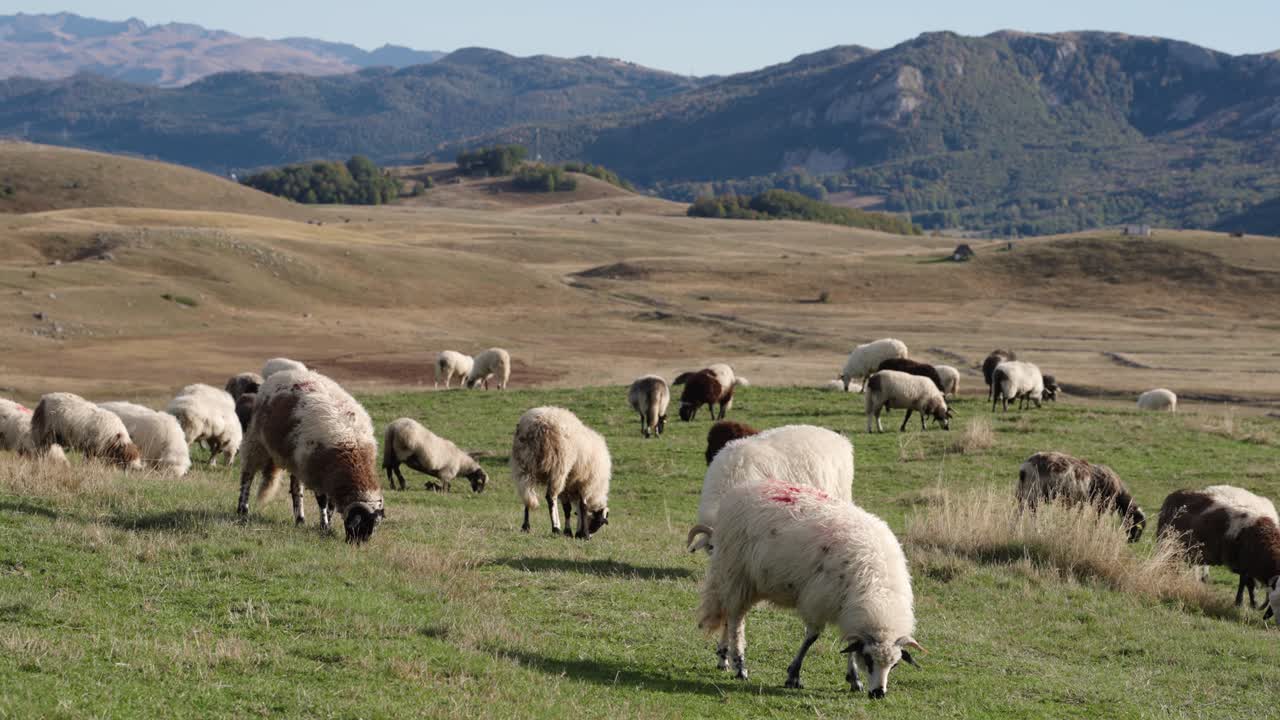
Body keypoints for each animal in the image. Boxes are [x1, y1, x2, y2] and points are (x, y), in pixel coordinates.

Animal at [236, 369, 384, 543]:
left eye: (373, 526)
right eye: (361, 523)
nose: (358, 544)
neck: (350, 447)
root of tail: (282, 373)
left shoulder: (329, 477)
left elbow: (331, 505)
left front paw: (329, 524)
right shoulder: (318, 474)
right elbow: (323, 503)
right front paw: (324, 526)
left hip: (297, 460)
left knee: (296, 489)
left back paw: (300, 519)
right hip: (256, 441)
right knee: (247, 476)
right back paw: (242, 510)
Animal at [511, 406, 610, 539]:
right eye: (599, 523)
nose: (590, 536)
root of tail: (535, 425)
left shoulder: (568, 485)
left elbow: (568, 509)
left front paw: (569, 532)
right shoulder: (586, 484)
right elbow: (583, 507)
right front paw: (582, 534)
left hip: (523, 464)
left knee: (526, 494)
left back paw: (526, 526)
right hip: (558, 467)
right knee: (550, 497)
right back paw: (555, 528)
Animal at [688, 479, 922, 698]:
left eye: (895, 665)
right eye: (869, 659)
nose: (878, 693)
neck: (879, 588)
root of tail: (741, 490)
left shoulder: (847, 607)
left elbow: (849, 643)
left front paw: (854, 678)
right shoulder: (818, 600)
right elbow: (811, 638)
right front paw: (793, 675)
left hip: (746, 582)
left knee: (729, 615)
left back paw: (724, 657)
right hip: (737, 574)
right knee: (736, 621)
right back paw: (740, 665)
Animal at [1016, 451, 1146, 542]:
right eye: (1139, 525)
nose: (1133, 541)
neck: (1119, 495)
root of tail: (1024, 468)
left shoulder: (1082, 502)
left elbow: (1078, 516)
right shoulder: (1100, 506)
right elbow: (1095, 521)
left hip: (1022, 493)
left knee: (1020, 512)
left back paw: (1016, 530)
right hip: (1034, 493)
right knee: (1032, 513)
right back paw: (1035, 531)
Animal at [1158, 487, 1280, 618]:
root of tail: (1173, 495)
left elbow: (1246, 583)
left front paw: (1247, 603)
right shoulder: (1243, 564)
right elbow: (1248, 584)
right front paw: (1244, 603)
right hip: (1169, 545)